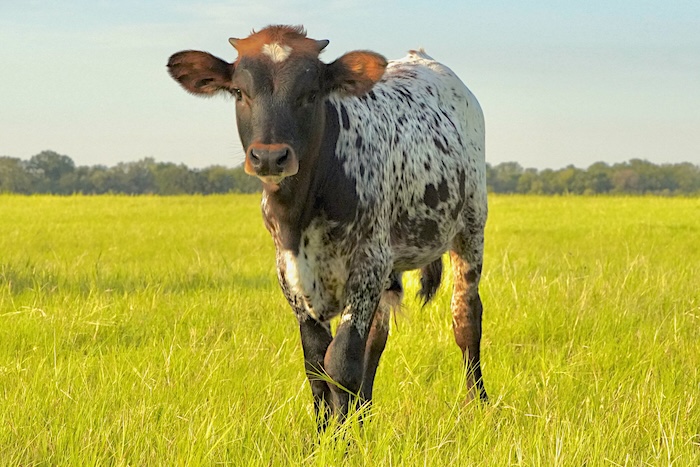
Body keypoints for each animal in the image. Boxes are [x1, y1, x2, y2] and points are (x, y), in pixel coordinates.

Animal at [167, 25, 488, 427]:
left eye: (311, 93)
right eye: (240, 92)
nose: (269, 157)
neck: (301, 211)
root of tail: (422, 57)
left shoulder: (368, 264)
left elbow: (342, 362)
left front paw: (342, 437)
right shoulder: (291, 273)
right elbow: (317, 365)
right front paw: (327, 433)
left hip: (470, 229)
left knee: (466, 319)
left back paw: (478, 405)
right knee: (377, 337)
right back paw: (364, 413)